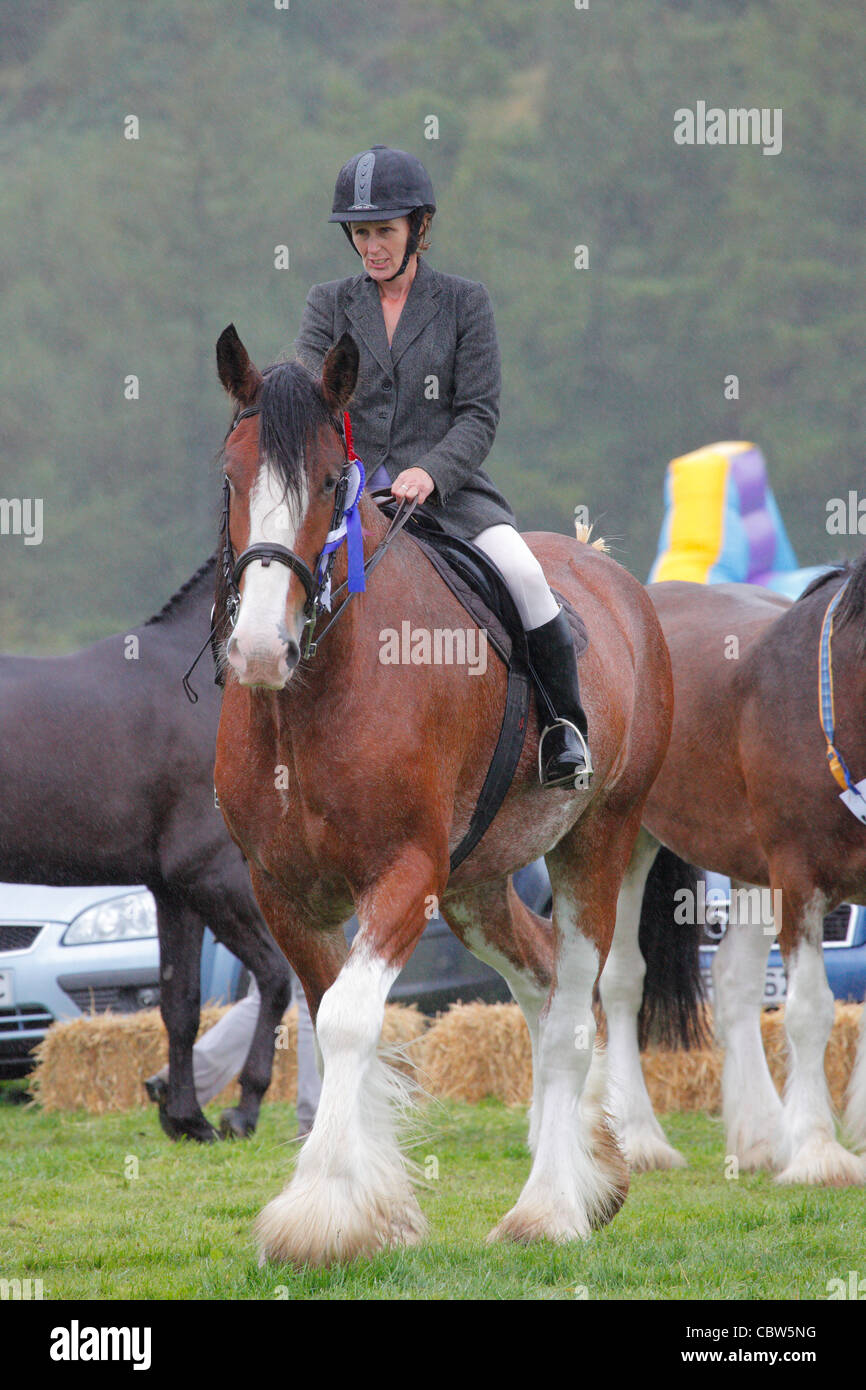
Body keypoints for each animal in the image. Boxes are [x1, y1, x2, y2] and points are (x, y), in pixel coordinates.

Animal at [0, 559, 291, 1140]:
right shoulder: (213, 876)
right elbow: (274, 977)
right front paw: (242, 1110)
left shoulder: (174, 890)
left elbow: (181, 1004)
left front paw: (186, 1120)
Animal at [210, 323, 674, 1267]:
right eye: (232, 480)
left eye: (330, 482)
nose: (262, 651)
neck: (309, 699)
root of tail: (611, 576)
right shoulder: (283, 892)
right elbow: (328, 1018)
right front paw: (375, 1211)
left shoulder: (404, 875)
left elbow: (350, 1021)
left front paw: (321, 1210)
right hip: (477, 885)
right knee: (539, 975)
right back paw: (595, 1173)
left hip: (597, 840)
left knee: (570, 1010)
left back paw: (549, 1207)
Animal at [600, 571, 866, 1185]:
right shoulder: (798, 877)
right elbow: (810, 1010)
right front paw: (818, 1152)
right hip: (627, 846)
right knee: (619, 981)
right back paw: (640, 1139)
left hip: (750, 872)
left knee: (734, 982)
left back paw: (762, 1137)